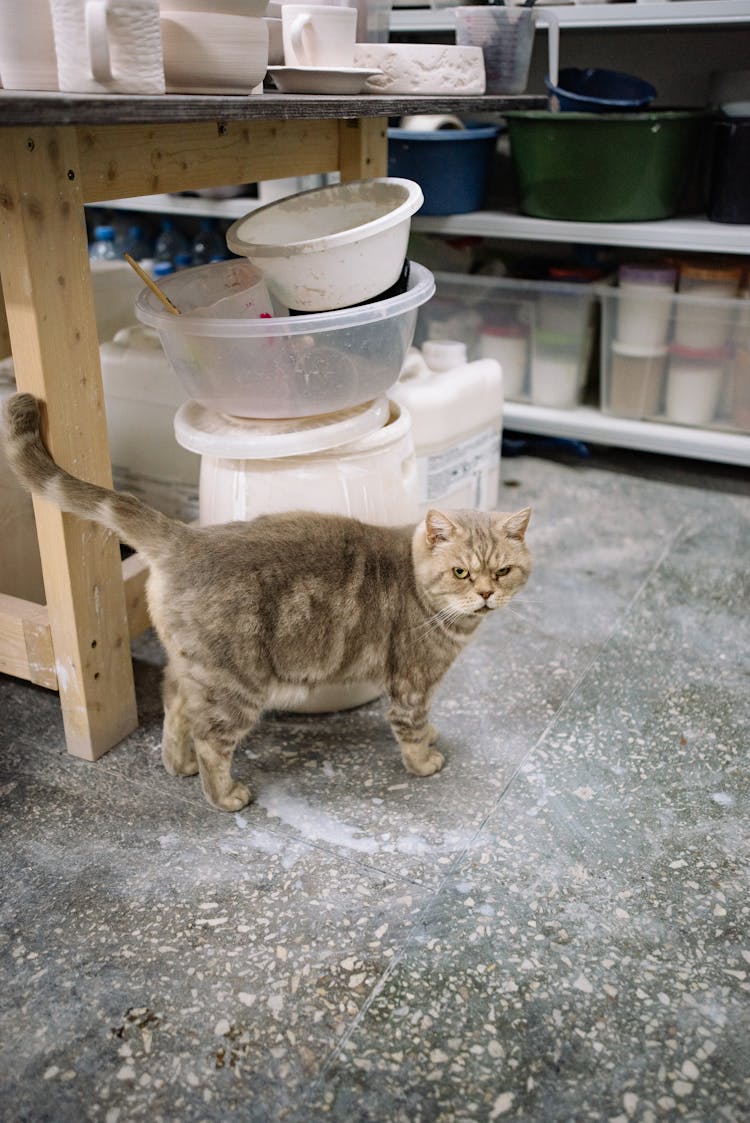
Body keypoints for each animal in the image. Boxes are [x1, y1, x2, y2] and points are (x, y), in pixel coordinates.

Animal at [5, 390, 532, 813]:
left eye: (502, 571)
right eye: (461, 572)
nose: (486, 594)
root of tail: (188, 539)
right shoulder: (411, 684)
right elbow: (412, 727)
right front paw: (424, 760)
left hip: (195, 669)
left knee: (175, 702)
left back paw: (177, 765)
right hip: (236, 685)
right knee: (210, 739)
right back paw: (224, 796)